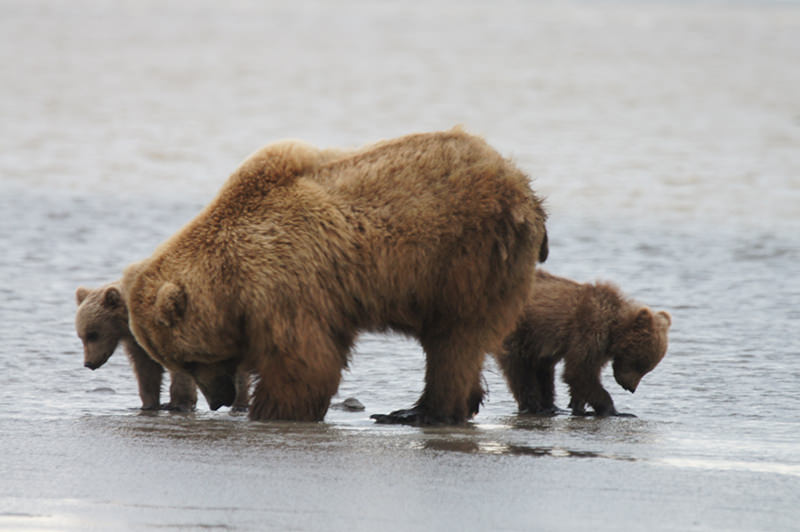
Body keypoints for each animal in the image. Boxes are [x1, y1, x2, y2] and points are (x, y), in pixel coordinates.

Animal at [76, 282, 250, 412]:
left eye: (93, 334)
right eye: (81, 336)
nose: (88, 363)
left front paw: (179, 404)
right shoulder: (137, 343)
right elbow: (146, 370)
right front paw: (149, 404)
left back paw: (240, 404)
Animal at [122, 128, 552, 424]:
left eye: (190, 360)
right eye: (179, 362)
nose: (218, 400)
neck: (231, 280)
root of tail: (525, 188)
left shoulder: (287, 282)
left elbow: (303, 360)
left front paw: (272, 409)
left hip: (464, 256)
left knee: (455, 340)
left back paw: (418, 412)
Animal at [496, 270, 672, 416]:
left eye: (647, 368)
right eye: (639, 363)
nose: (630, 388)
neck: (613, 328)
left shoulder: (601, 347)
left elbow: (582, 374)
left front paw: (578, 405)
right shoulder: (589, 330)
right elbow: (580, 370)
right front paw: (614, 410)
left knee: (543, 370)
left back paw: (551, 406)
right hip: (520, 331)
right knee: (520, 369)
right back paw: (535, 407)